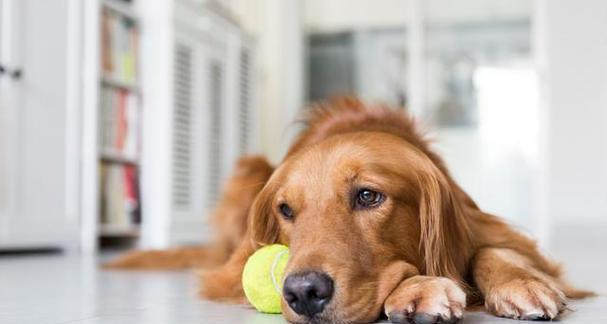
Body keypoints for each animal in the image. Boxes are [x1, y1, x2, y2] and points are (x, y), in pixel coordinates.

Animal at [108, 98, 588, 324]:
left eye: (368, 196)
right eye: (286, 210)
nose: (303, 292)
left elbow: (496, 249)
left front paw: (521, 282)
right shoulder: (231, 270)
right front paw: (419, 288)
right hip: (249, 169)